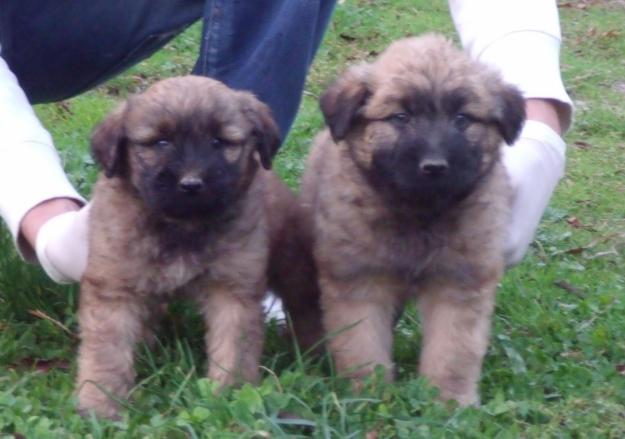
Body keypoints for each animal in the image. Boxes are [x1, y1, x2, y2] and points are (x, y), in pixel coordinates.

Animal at [75, 76, 290, 420]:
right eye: (161, 142)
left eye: (219, 142)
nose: (191, 184)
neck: (182, 226)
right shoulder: (114, 287)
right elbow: (107, 351)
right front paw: (101, 404)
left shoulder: (234, 288)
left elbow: (234, 347)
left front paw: (231, 397)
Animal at [300, 35, 524, 410]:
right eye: (401, 117)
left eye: (462, 118)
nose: (434, 166)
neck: (419, 213)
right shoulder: (359, 281)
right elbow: (362, 344)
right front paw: (369, 394)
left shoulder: (459, 282)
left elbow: (453, 350)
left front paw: (449, 401)